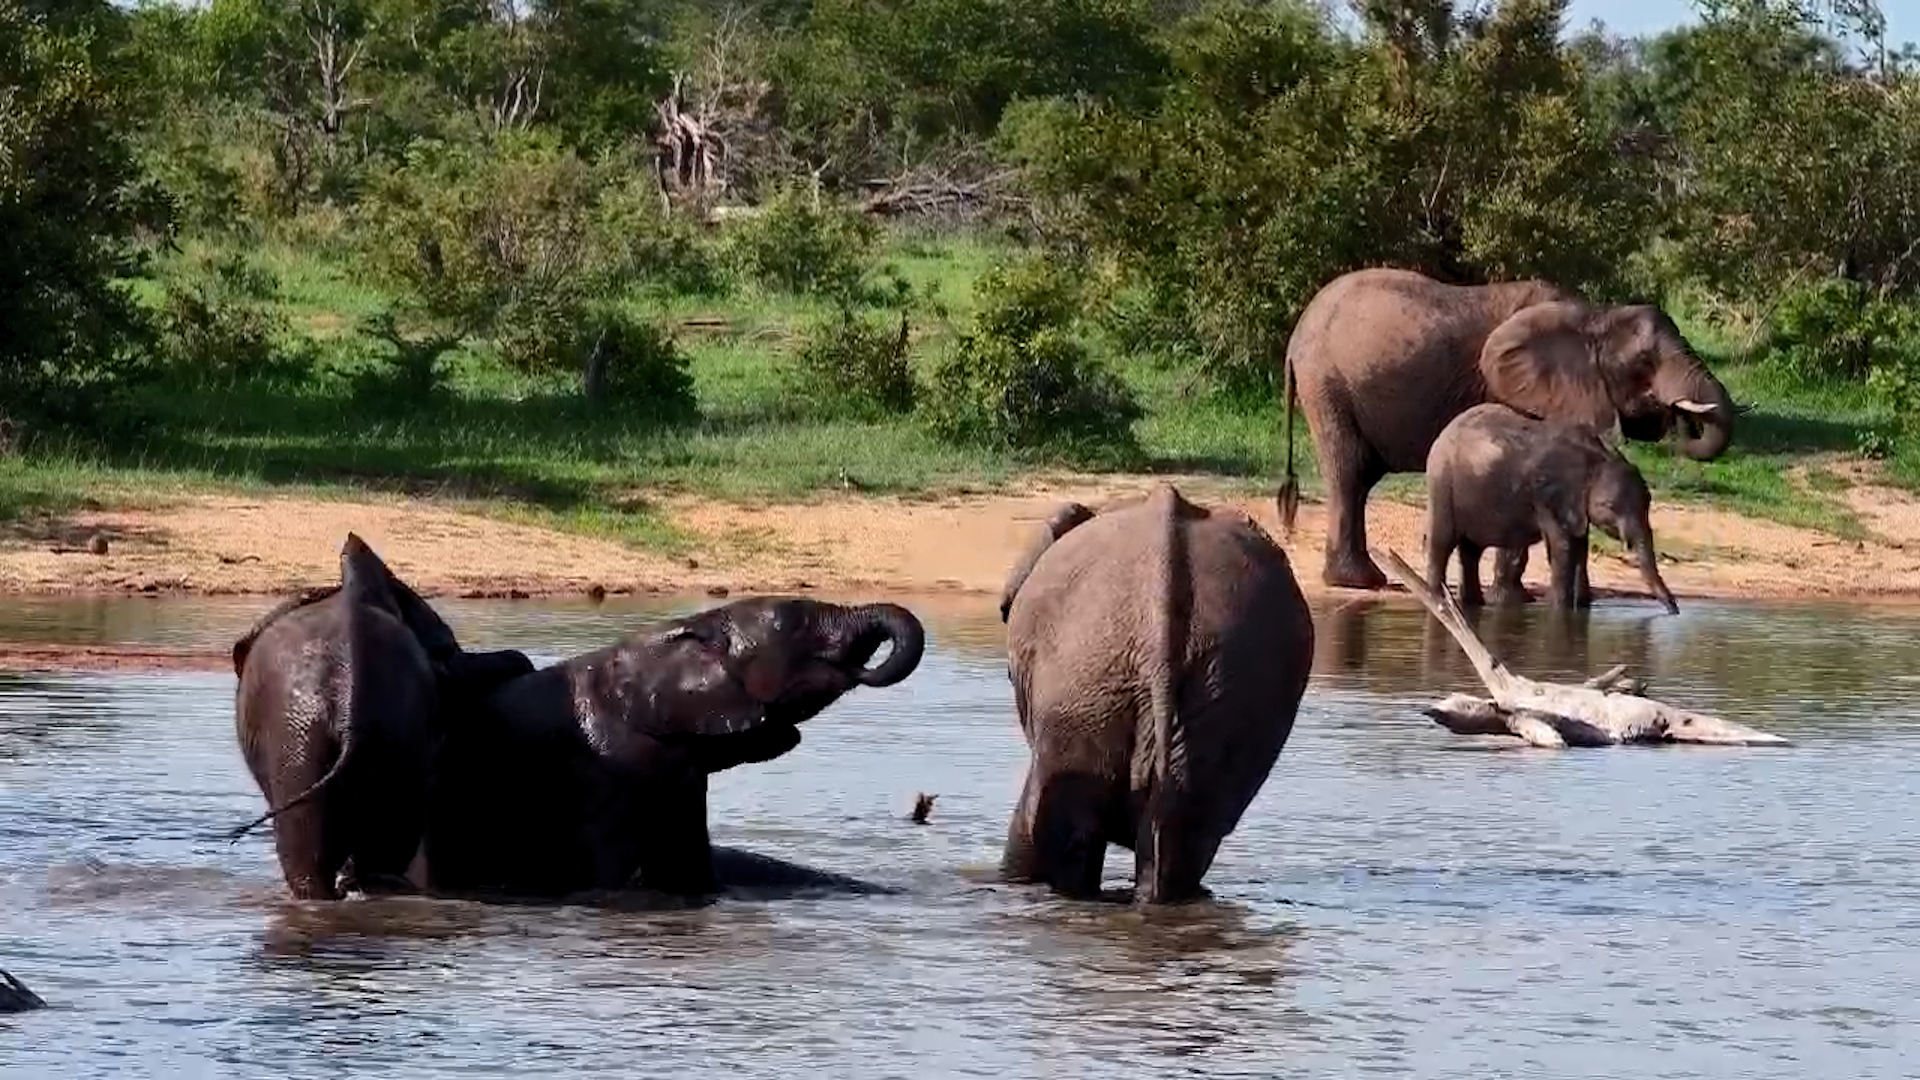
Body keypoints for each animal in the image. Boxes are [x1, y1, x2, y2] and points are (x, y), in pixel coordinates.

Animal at [1275, 267, 1737, 591]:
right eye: (1644, 362)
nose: (1681, 417)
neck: (1596, 317)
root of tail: (1295, 338)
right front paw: (1513, 597)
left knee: (1359, 479)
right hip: (1328, 385)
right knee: (1349, 473)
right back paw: (1360, 583)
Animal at [1425, 403, 1679, 614]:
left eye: (1648, 503)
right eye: (1610, 506)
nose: (1674, 611)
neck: (1597, 459)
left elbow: (1580, 547)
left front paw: (1581, 608)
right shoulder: (1548, 497)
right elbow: (1563, 547)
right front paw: (1561, 611)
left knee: (1471, 551)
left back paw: (1472, 605)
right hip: (1442, 484)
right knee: (1442, 542)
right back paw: (1436, 600)